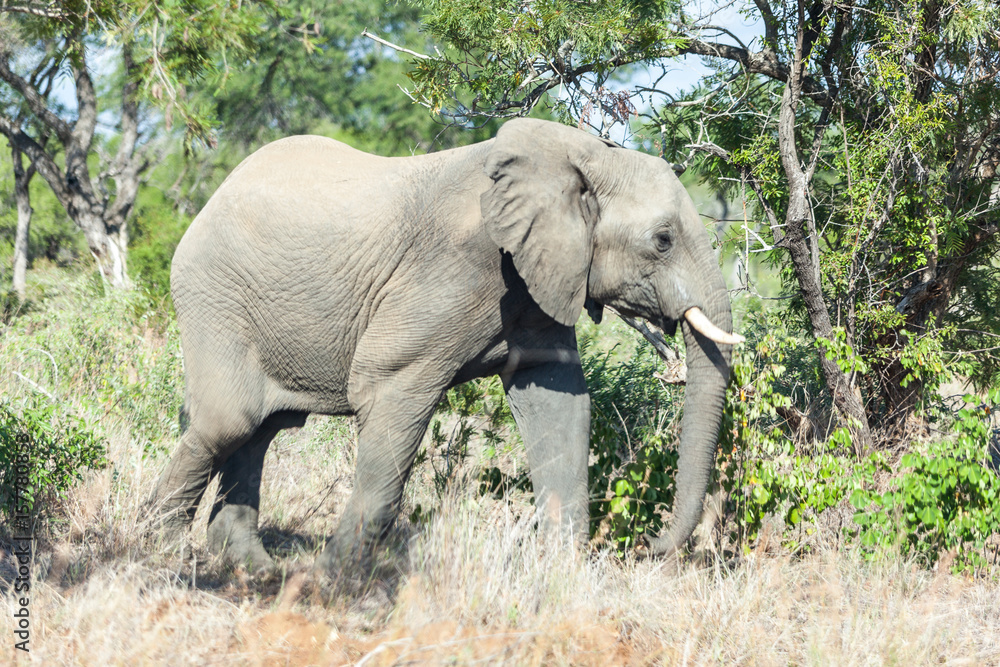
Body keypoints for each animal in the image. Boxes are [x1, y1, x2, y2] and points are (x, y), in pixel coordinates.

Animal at [152, 118, 741, 574]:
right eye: (662, 240)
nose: (649, 545)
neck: (580, 154)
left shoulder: (536, 284)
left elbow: (559, 405)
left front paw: (561, 578)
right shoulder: (455, 270)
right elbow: (384, 391)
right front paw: (329, 582)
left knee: (261, 427)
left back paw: (252, 567)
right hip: (213, 293)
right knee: (228, 421)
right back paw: (155, 546)